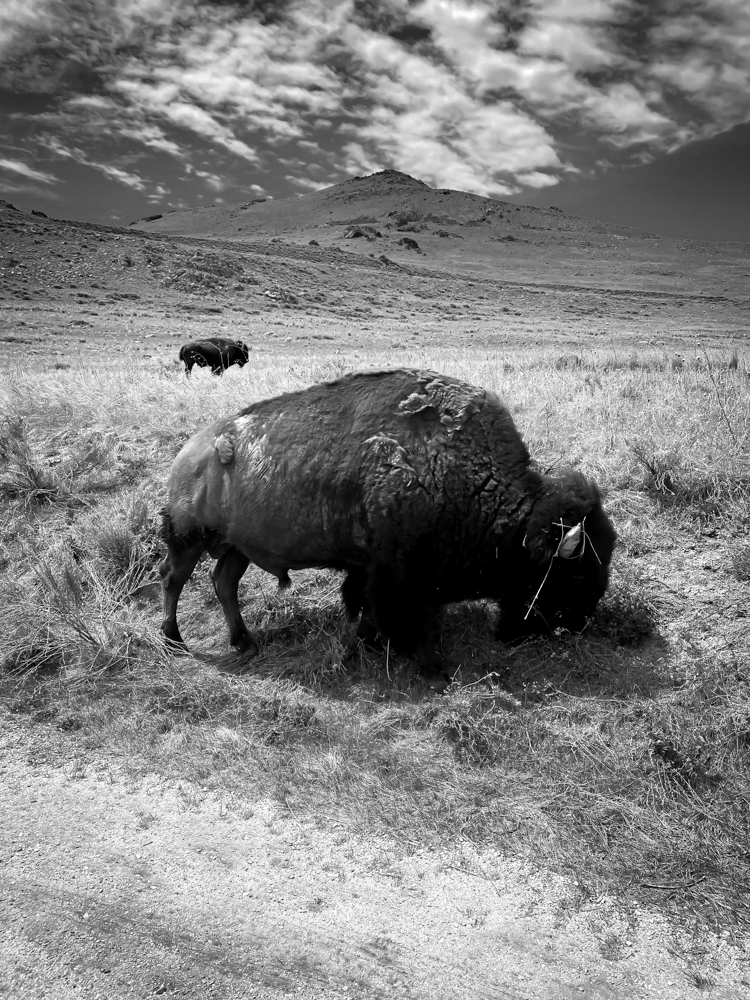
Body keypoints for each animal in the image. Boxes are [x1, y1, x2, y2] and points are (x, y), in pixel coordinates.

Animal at [159, 368, 616, 688]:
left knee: (224, 583)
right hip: (188, 537)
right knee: (173, 580)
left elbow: (368, 608)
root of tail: (190, 450)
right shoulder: (404, 574)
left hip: (237, 546)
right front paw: (434, 673)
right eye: (575, 574)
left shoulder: (377, 571)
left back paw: (244, 642)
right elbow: (413, 619)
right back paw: (174, 641)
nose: (580, 621)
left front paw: (364, 647)